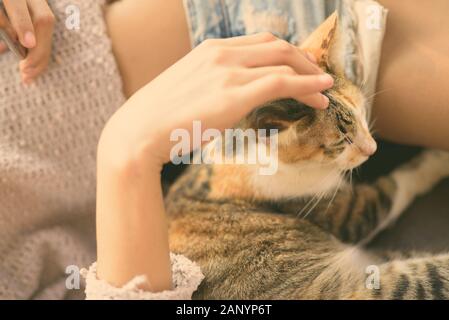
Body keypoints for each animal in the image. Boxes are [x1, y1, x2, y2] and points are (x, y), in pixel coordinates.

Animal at [164, 13, 448, 300]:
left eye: (362, 113)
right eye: (341, 142)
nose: (372, 149)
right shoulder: (339, 210)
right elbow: (394, 187)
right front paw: (437, 158)